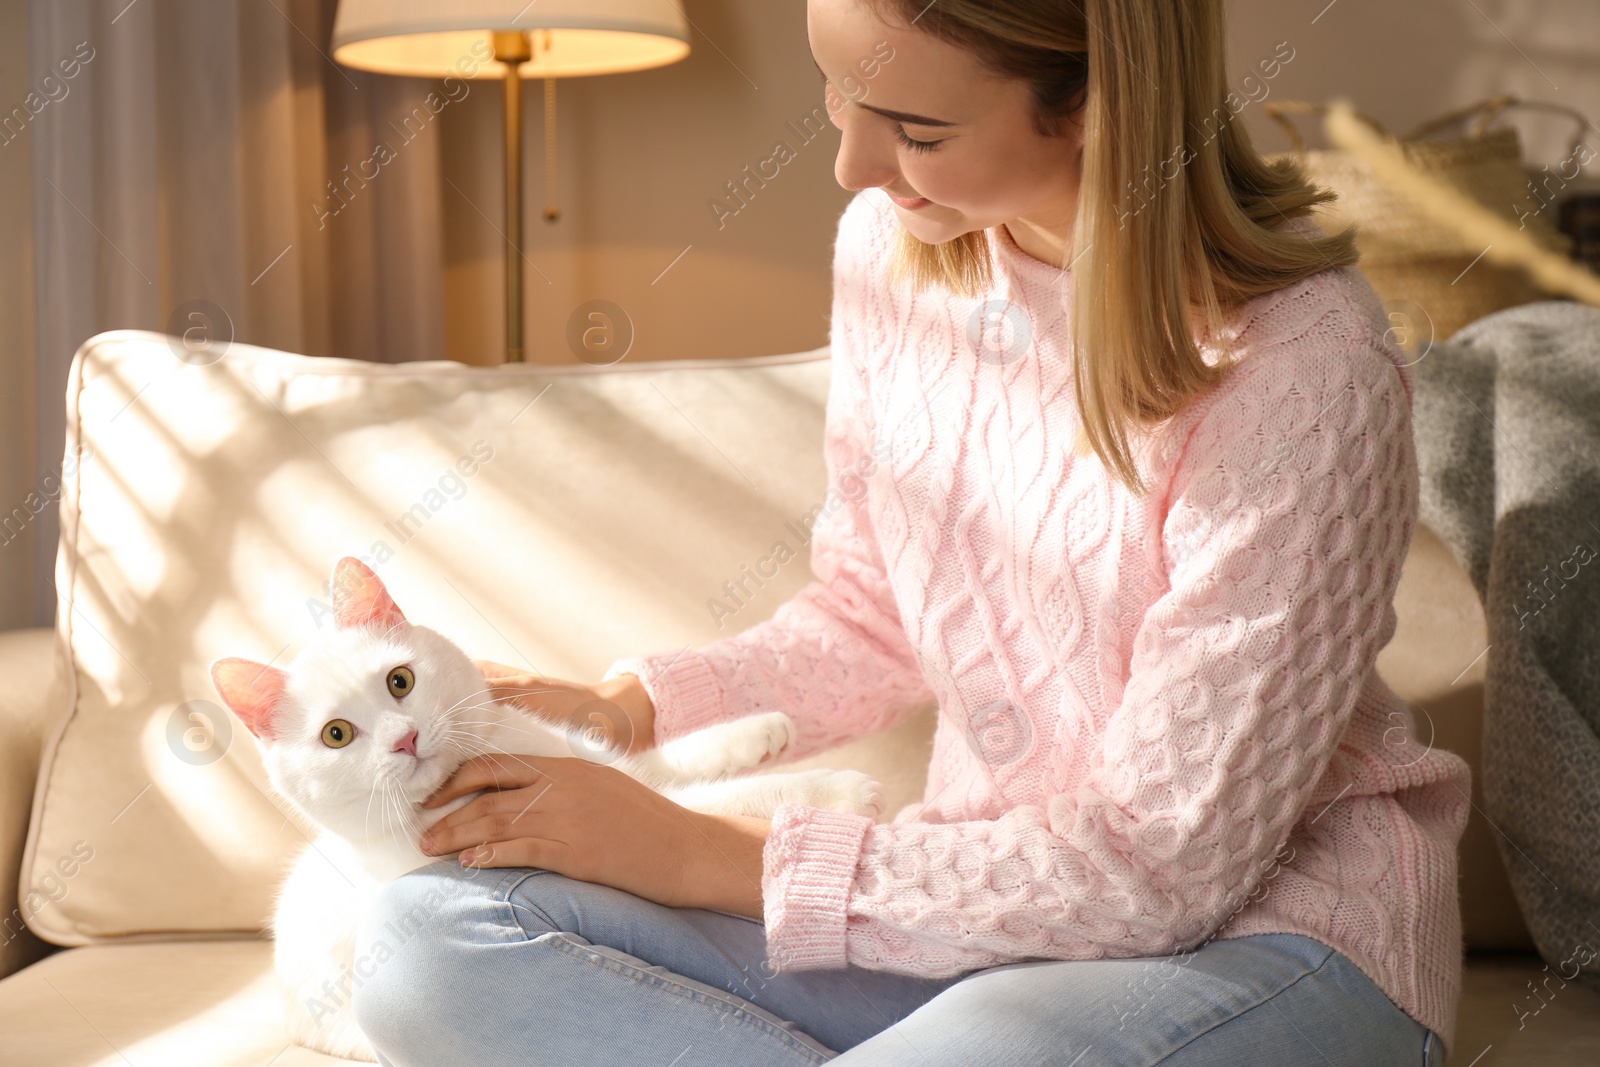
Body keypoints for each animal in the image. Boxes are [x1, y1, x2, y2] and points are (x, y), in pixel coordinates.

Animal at [209, 559, 889, 1062]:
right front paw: (840, 794)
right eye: (337, 735)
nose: (404, 739)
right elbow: (700, 802)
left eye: (400, 681)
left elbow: (665, 762)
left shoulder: (599, 759)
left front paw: (757, 731)